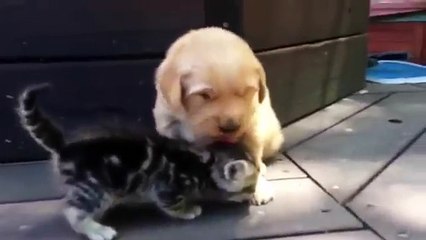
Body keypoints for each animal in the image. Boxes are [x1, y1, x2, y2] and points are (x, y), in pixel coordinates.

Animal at [17, 84, 256, 240]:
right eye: (251, 185)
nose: (253, 196)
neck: (204, 165)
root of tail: (65, 146)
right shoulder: (166, 187)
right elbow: (171, 205)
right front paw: (187, 210)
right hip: (95, 186)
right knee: (73, 211)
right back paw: (97, 229)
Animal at [152, 27, 282, 204]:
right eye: (205, 95)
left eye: (244, 93)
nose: (231, 127)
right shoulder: (168, 127)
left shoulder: (252, 128)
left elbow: (253, 157)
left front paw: (259, 188)